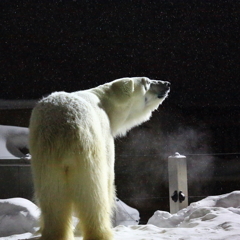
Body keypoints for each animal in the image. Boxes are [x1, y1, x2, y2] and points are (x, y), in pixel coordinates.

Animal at [28, 77, 171, 240]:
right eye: (147, 83)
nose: (166, 84)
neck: (105, 102)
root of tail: (63, 125)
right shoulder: (105, 135)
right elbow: (108, 178)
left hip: (45, 154)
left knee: (52, 195)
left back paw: (54, 234)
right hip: (87, 146)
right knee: (93, 192)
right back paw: (100, 233)